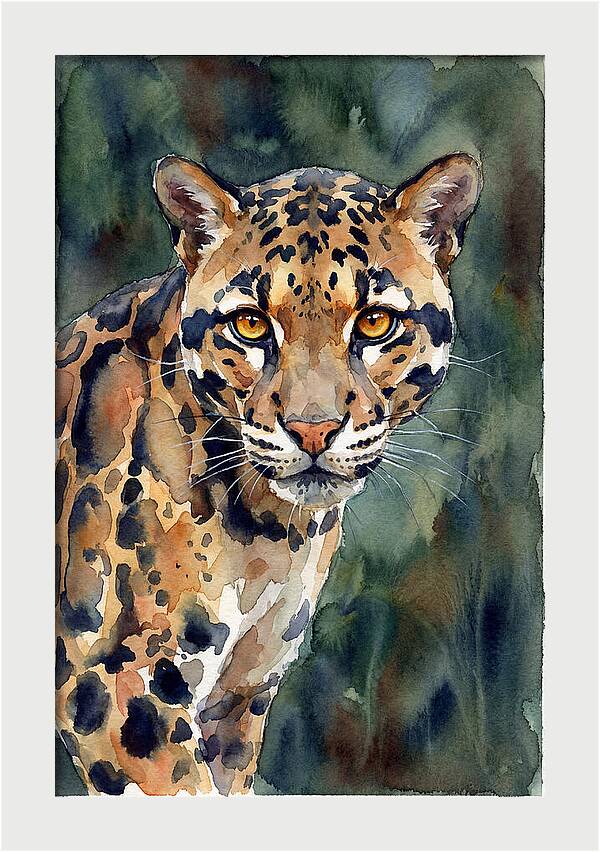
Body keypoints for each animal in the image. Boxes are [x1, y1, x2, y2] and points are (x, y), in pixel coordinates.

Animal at [55, 151, 482, 796]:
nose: (313, 429)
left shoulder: (238, 698)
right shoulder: (116, 684)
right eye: (251, 325)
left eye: (376, 323)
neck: (269, 531)